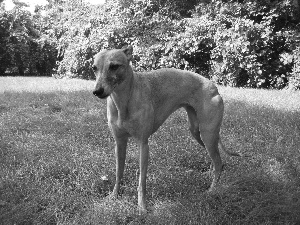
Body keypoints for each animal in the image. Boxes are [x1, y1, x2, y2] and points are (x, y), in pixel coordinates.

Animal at [92, 45, 240, 213]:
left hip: (208, 134)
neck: (123, 101)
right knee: (217, 161)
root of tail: (214, 86)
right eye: (94, 68)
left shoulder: (143, 144)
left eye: (114, 66)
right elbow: (118, 173)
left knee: (218, 162)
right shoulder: (119, 143)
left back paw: (212, 190)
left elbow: (142, 181)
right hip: (197, 132)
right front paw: (114, 196)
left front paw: (142, 207)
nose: (97, 91)